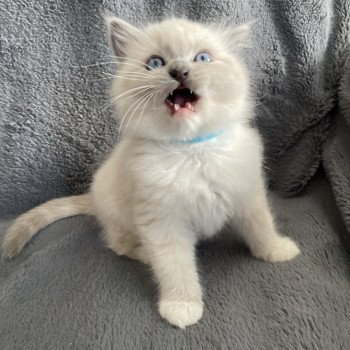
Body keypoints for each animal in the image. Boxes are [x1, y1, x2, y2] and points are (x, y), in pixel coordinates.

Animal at [1, 16, 300, 328]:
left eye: (202, 58)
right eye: (155, 63)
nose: (179, 71)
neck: (192, 151)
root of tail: (93, 198)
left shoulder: (247, 192)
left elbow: (261, 227)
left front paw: (277, 250)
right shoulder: (162, 220)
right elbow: (174, 266)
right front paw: (182, 306)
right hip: (120, 217)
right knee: (120, 245)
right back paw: (145, 255)